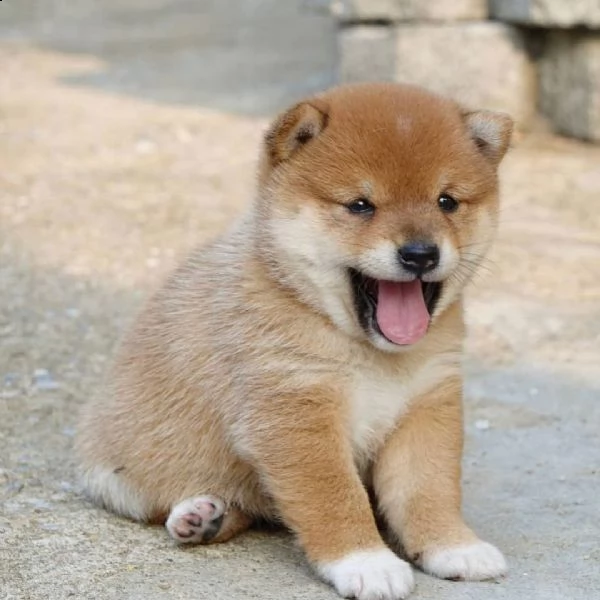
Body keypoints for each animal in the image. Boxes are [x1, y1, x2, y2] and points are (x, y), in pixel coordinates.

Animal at [77, 81, 512, 600]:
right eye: (360, 205)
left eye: (447, 202)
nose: (420, 254)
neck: (369, 354)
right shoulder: (295, 413)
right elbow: (334, 497)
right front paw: (366, 562)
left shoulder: (427, 405)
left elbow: (429, 488)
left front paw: (453, 546)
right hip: (119, 476)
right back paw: (196, 512)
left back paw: (209, 517)